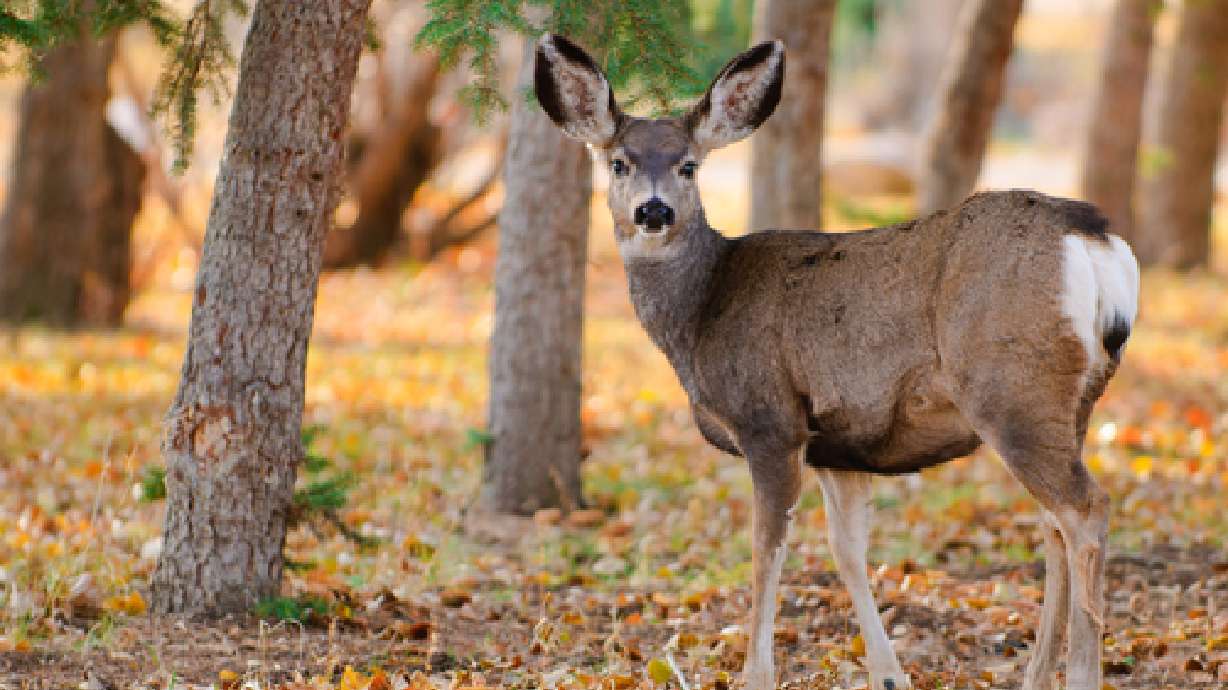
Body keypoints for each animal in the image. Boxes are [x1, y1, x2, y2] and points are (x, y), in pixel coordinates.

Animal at [534, 34, 1140, 690]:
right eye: (618, 162)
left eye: (688, 165)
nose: (653, 211)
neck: (701, 313)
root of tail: (1094, 239)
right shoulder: (840, 446)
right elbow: (848, 550)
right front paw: (889, 674)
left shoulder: (770, 421)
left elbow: (765, 549)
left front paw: (757, 674)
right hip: (1071, 400)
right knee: (1054, 524)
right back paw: (1035, 674)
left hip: (1011, 386)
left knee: (1084, 511)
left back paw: (1081, 673)